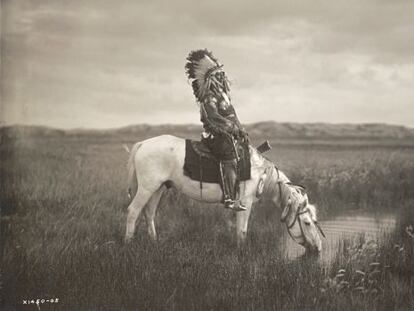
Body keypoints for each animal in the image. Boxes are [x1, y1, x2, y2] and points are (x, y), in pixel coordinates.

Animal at [125, 135, 324, 254]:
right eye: (307, 223)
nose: (318, 248)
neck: (260, 172)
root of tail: (143, 144)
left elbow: (238, 229)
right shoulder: (245, 203)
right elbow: (242, 230)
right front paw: (241, 253)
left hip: (157, 188)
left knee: (149, 213)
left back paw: (154, 242)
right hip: (146, 188)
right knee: (133, 211)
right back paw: (129, 243)